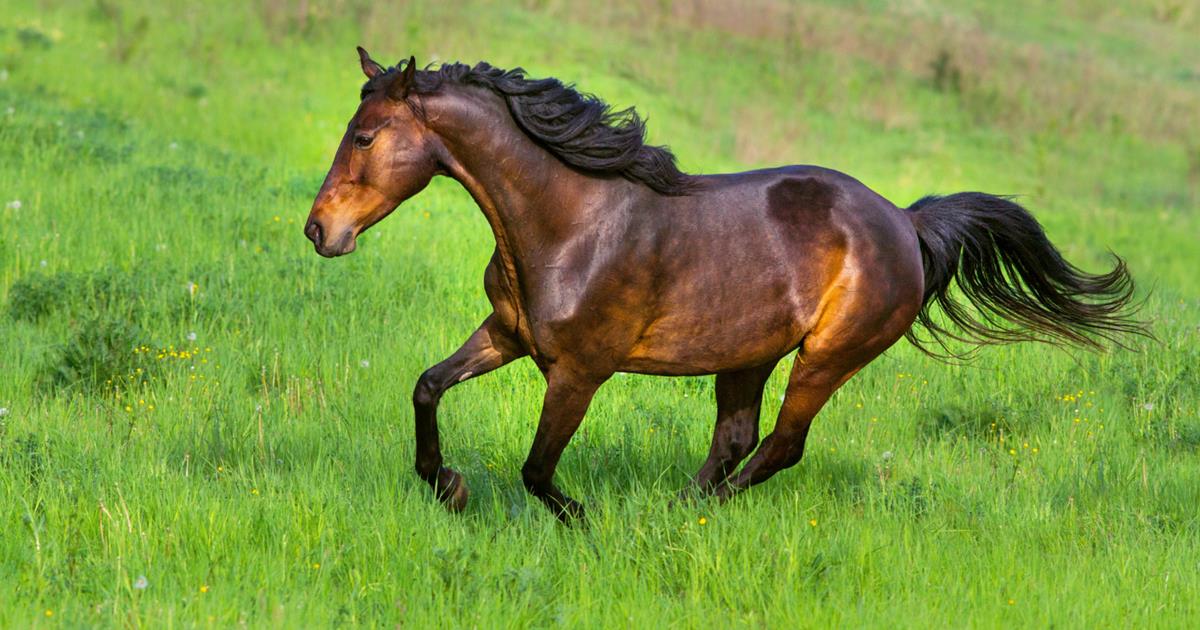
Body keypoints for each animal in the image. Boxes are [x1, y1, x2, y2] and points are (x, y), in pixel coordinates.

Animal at [304, 49, 1144, 523]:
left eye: (365, 137)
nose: (319, 231)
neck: (568, 223)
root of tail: (905, 222)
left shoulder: (580, 371)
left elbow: (538, 469)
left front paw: (583, 519)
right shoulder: (508, 335)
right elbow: (426, 386)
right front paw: (445, 485)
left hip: (826, 356)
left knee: (779, 446)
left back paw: (681, 517)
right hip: (748, 354)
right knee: (735, 441)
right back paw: (677, 512)